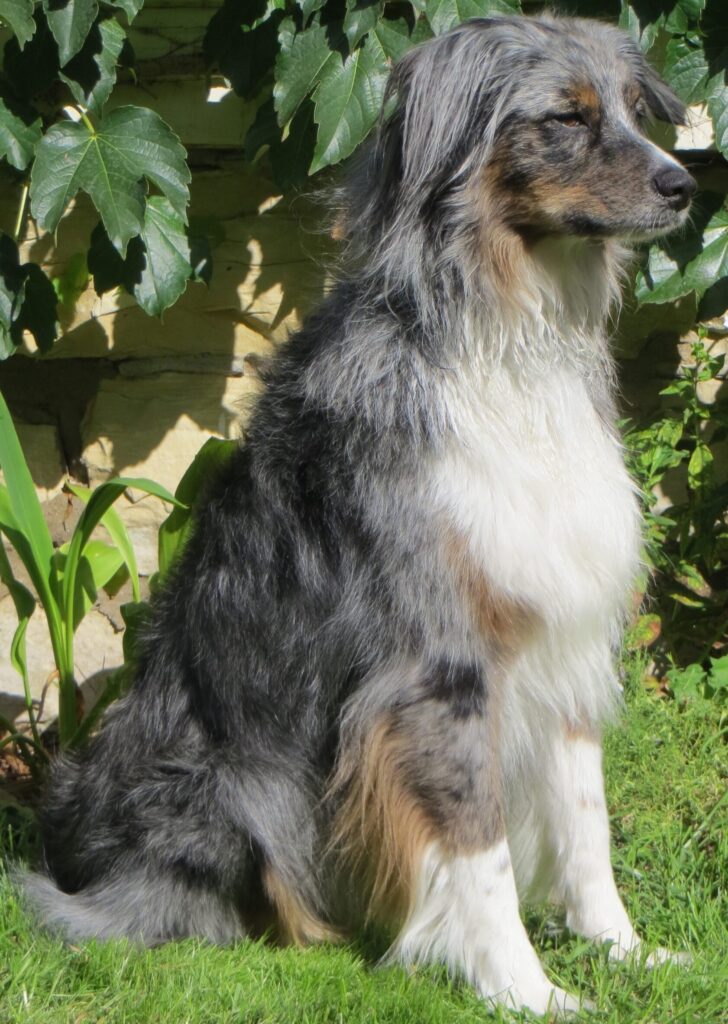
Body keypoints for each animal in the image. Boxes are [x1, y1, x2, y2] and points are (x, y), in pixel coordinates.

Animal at [22, 14, 696, 1015]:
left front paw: (624, 951)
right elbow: (479, 847)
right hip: (239, 783)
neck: (504, 336)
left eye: (633, 111)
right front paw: (522, 989)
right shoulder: (440, 659)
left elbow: (587, 825)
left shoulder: (562, 624)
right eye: (567, 118)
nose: (684, 184)